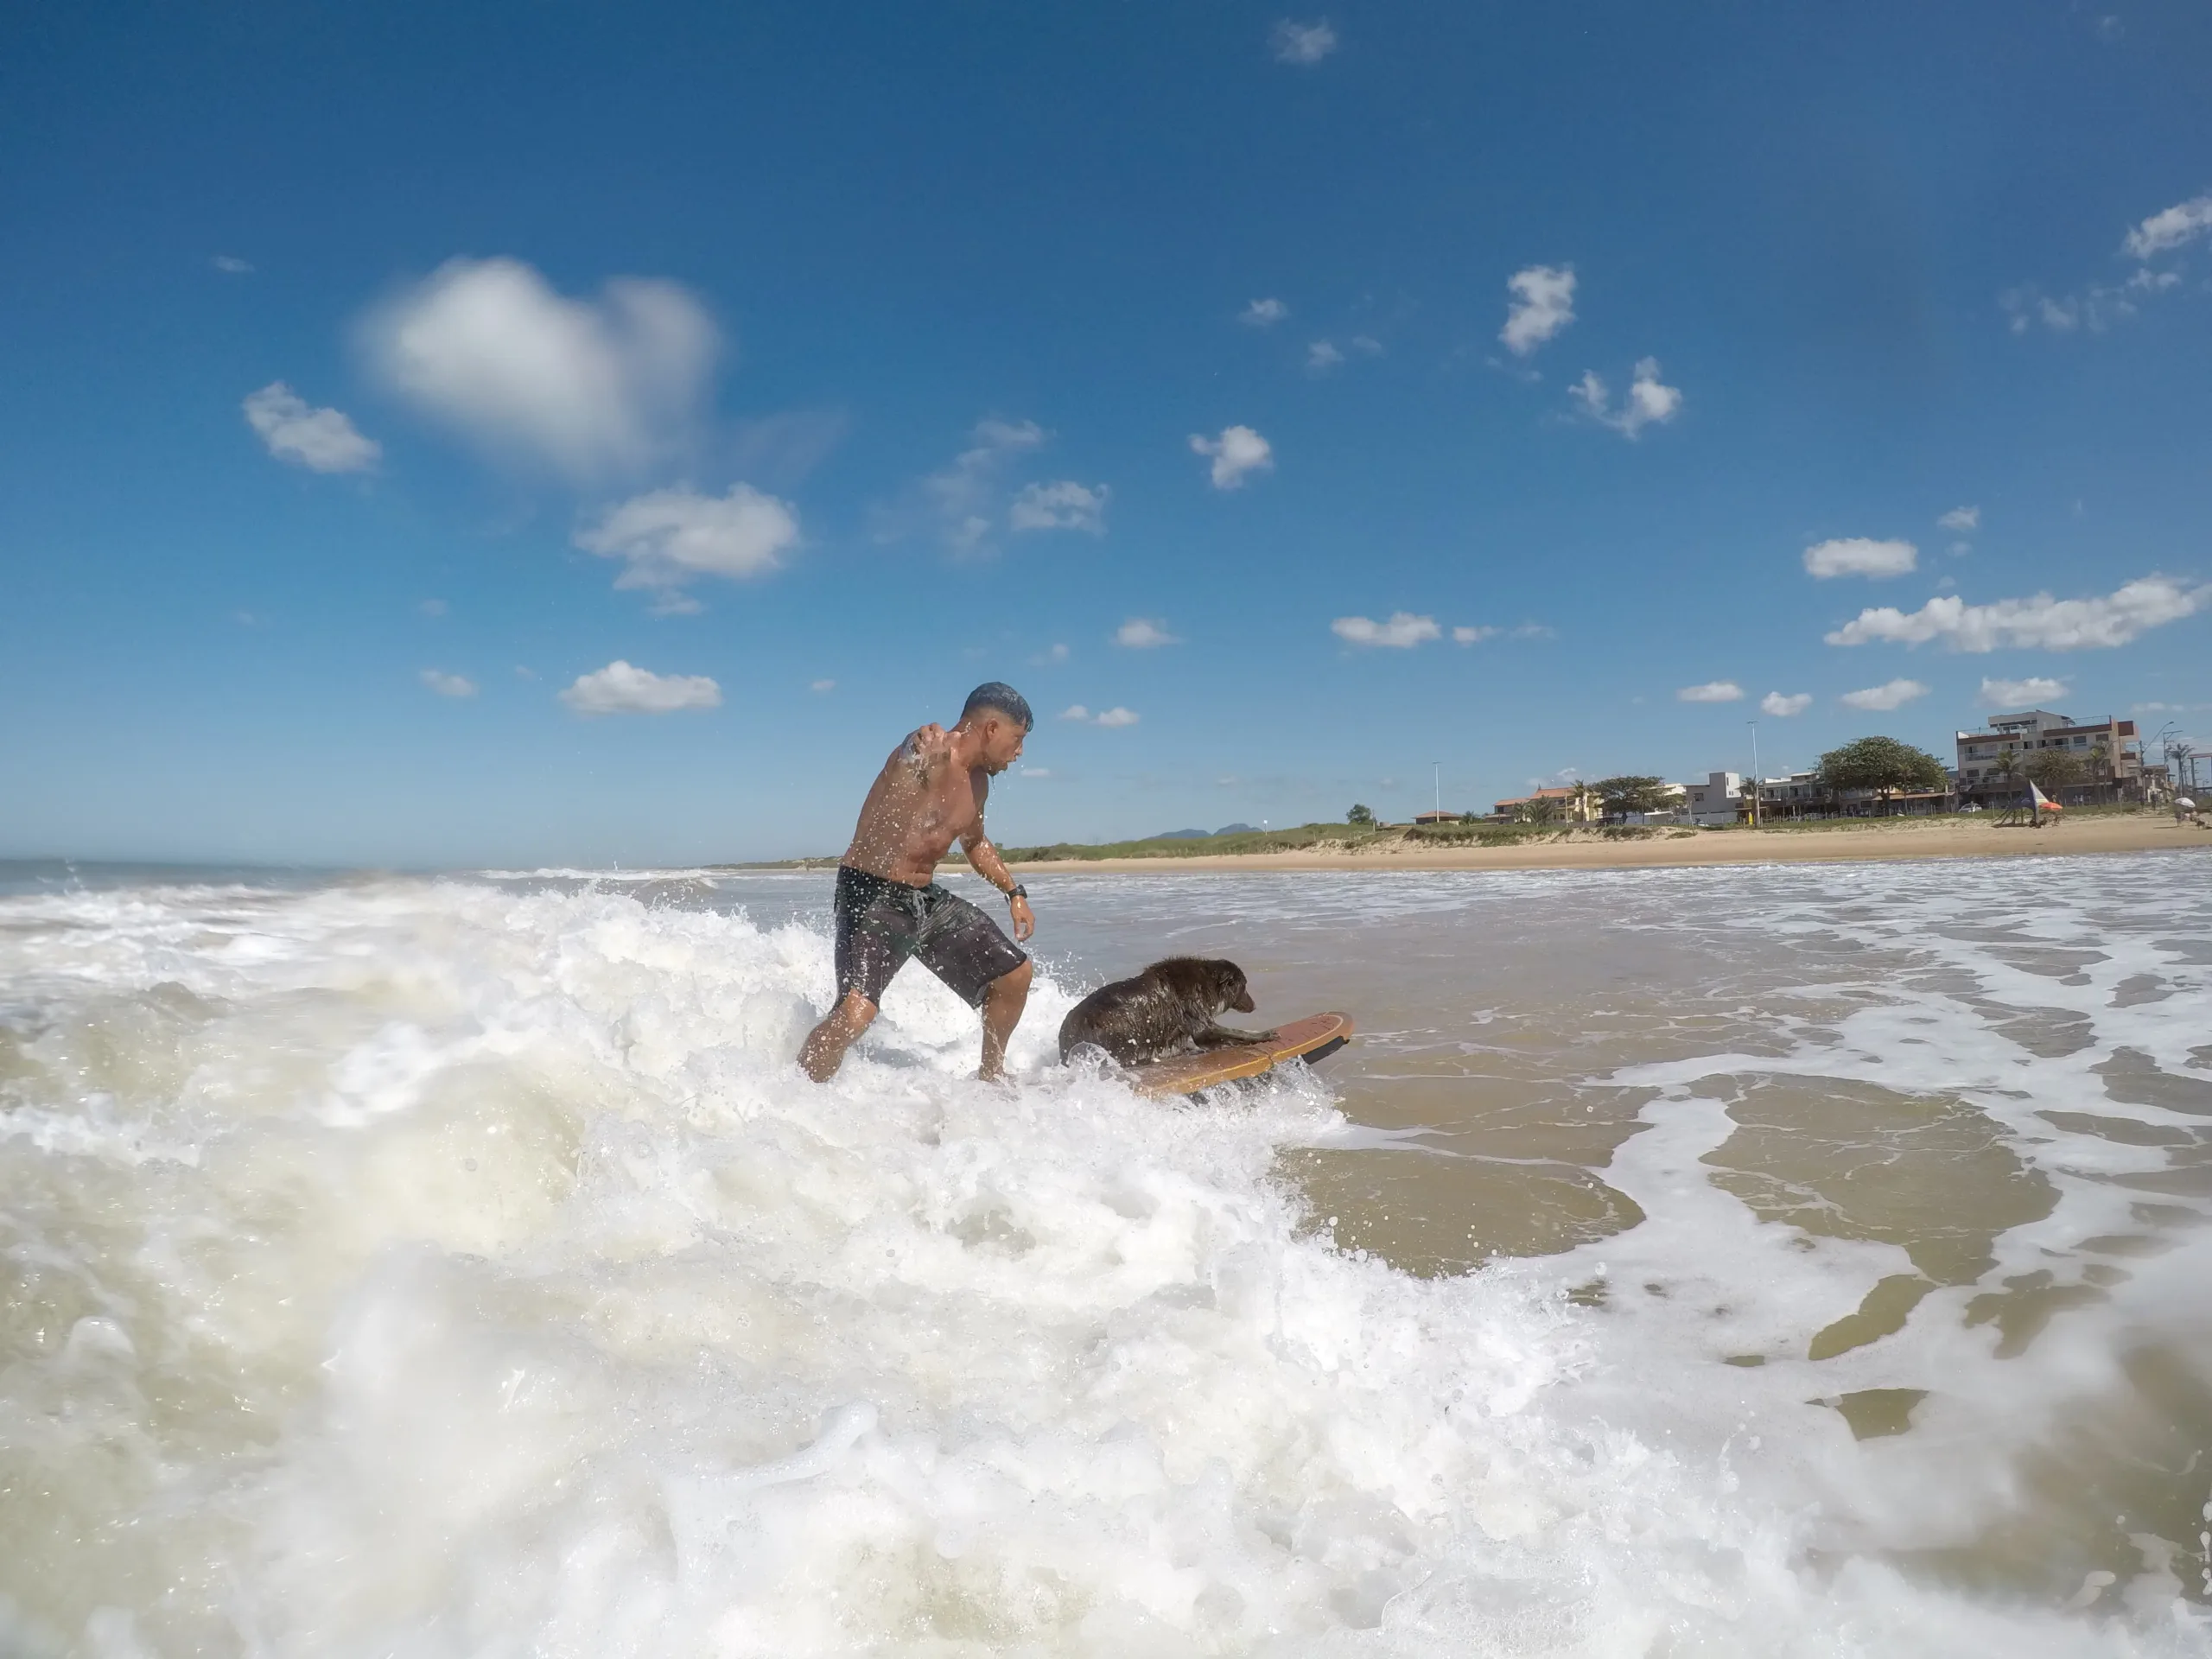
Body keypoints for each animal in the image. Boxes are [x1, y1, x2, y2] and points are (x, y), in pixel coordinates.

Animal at [1057, 955, 1282, 1071]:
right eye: (1243, 987)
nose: (1254, 1006)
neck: (1207, 983)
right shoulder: (1202, 1025)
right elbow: (1236, 1032)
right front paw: (1264, 1035)